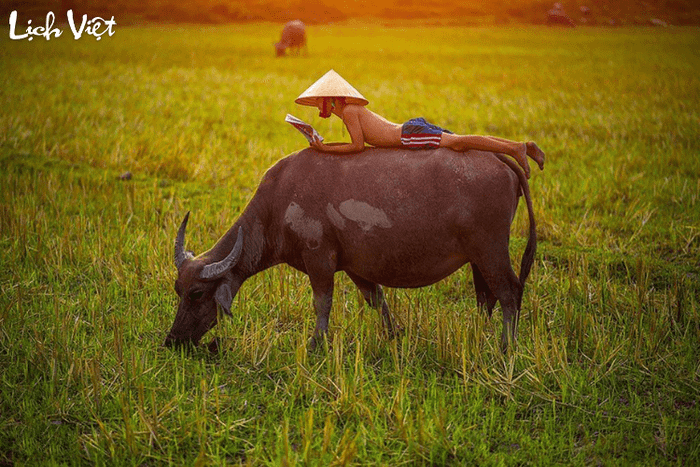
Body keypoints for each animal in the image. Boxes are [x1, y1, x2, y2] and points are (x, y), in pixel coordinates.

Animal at [165, 147, 536, 353]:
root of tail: (499, 159)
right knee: (487, 298)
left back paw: (507, 346)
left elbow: (322, 304)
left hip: (491, 251)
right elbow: (377, 299)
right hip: (478, 258)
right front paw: (394, 335)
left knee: (509, 291)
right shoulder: (356, 268)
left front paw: (317, 344)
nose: (173, 341)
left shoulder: (320, 261)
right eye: (178, 290)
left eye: (197, 294)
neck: (278, 202)